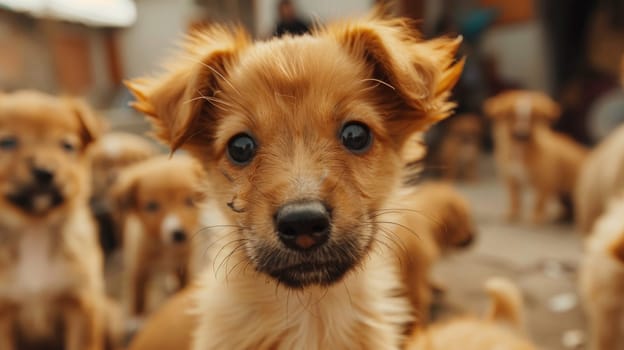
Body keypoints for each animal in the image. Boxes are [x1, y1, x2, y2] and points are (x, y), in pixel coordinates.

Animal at [113, 156, 206, 320]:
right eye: (151, 206)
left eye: (190, 200)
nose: (179, 234)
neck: (165, 248)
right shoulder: (139, 272)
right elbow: (138, 302)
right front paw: (137, 317)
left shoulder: (185, 265)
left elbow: (183, 287)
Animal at [486, 89, 588, 223]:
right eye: (511, 116)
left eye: (534, 118)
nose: (522, 134)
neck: (521, 149)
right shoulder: (511, 179)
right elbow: (514, 199)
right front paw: (512, 213)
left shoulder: (544, 180)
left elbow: (539, 201)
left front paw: (537, 216)